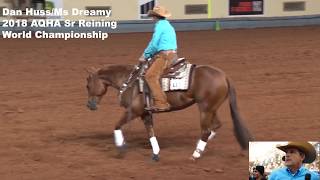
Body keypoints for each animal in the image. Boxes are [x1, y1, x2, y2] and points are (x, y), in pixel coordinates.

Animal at [86, 63, 254, 160]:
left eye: (87, 85)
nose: (89, 105)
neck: (130, 82)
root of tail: (224, 75)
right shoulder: (145, 113)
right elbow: (150, 132)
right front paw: (156, 152)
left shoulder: (133, 111)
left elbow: (117, 125)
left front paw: (120, 148)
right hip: (211, 108)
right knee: (216, 125)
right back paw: (201, 145)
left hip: (205, 109)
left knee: (206, 130)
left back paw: (196, 153)